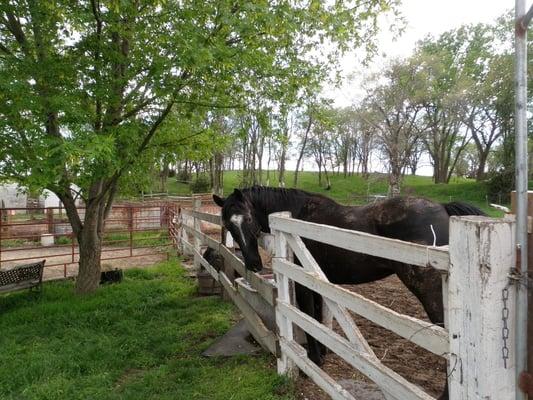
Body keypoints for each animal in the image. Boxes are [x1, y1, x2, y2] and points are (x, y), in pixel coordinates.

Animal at [212, 186, 482, 398]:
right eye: (228, 225)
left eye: (248, 219)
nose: (253, 264)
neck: (296, 217)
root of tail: (443, 209)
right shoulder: (318, 282)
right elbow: (318, 318)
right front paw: (323, 352)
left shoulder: (304, 283)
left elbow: (309, 315)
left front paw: (315, 360)